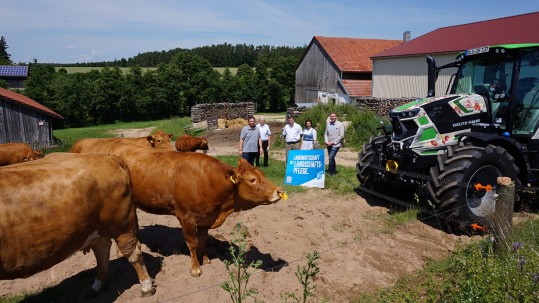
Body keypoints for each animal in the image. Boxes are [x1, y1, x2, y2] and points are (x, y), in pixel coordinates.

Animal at [0, 154, 156, 296]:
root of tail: (111, 158)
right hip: (98, 229)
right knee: (102, 251)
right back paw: (98, 286)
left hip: (123, 226)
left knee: (132, 252)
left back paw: (146, 287)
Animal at [74, 144, 288, 278]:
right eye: (252, 180)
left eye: (263, 174)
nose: (279, 191)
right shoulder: (186, 218)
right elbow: (192, 243)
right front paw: (195, 269)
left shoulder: (205, 219)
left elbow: (203, 241)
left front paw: (206, 260)